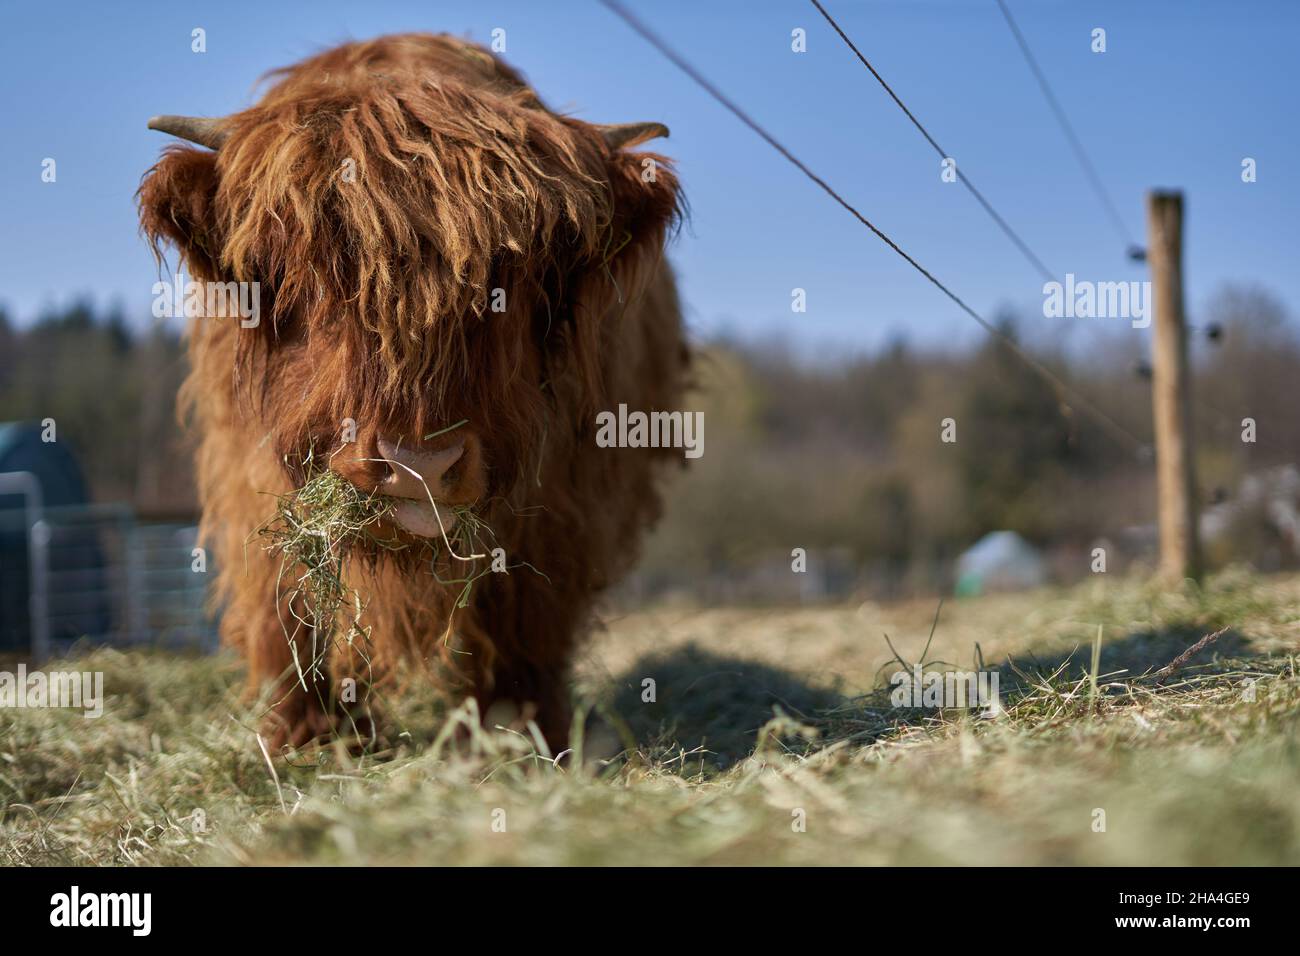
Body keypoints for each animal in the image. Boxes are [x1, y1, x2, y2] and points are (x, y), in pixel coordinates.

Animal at [138, 33, 691, 749]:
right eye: (307, 273)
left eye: (507, 279)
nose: (418, 465)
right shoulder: (248, 467)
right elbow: (285, 596)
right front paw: (300, 735)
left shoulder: (567, 494)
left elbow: (527, 613)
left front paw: (523, 737)